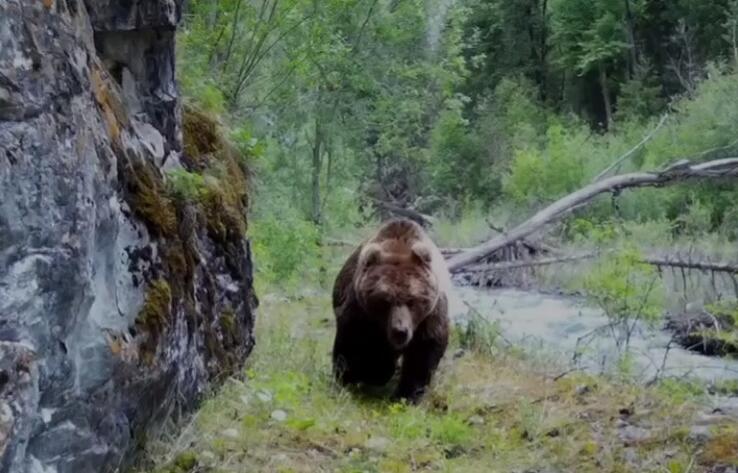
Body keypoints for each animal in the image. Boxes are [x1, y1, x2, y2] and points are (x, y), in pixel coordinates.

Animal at [330, 218, 452, 402]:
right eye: (385, 301)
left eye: (412, 301)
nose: (400, 331)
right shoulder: (360, 311)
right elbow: (353, 343)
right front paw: (354, 376)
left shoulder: (430, 315)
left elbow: (423, 351)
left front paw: (408, 394)